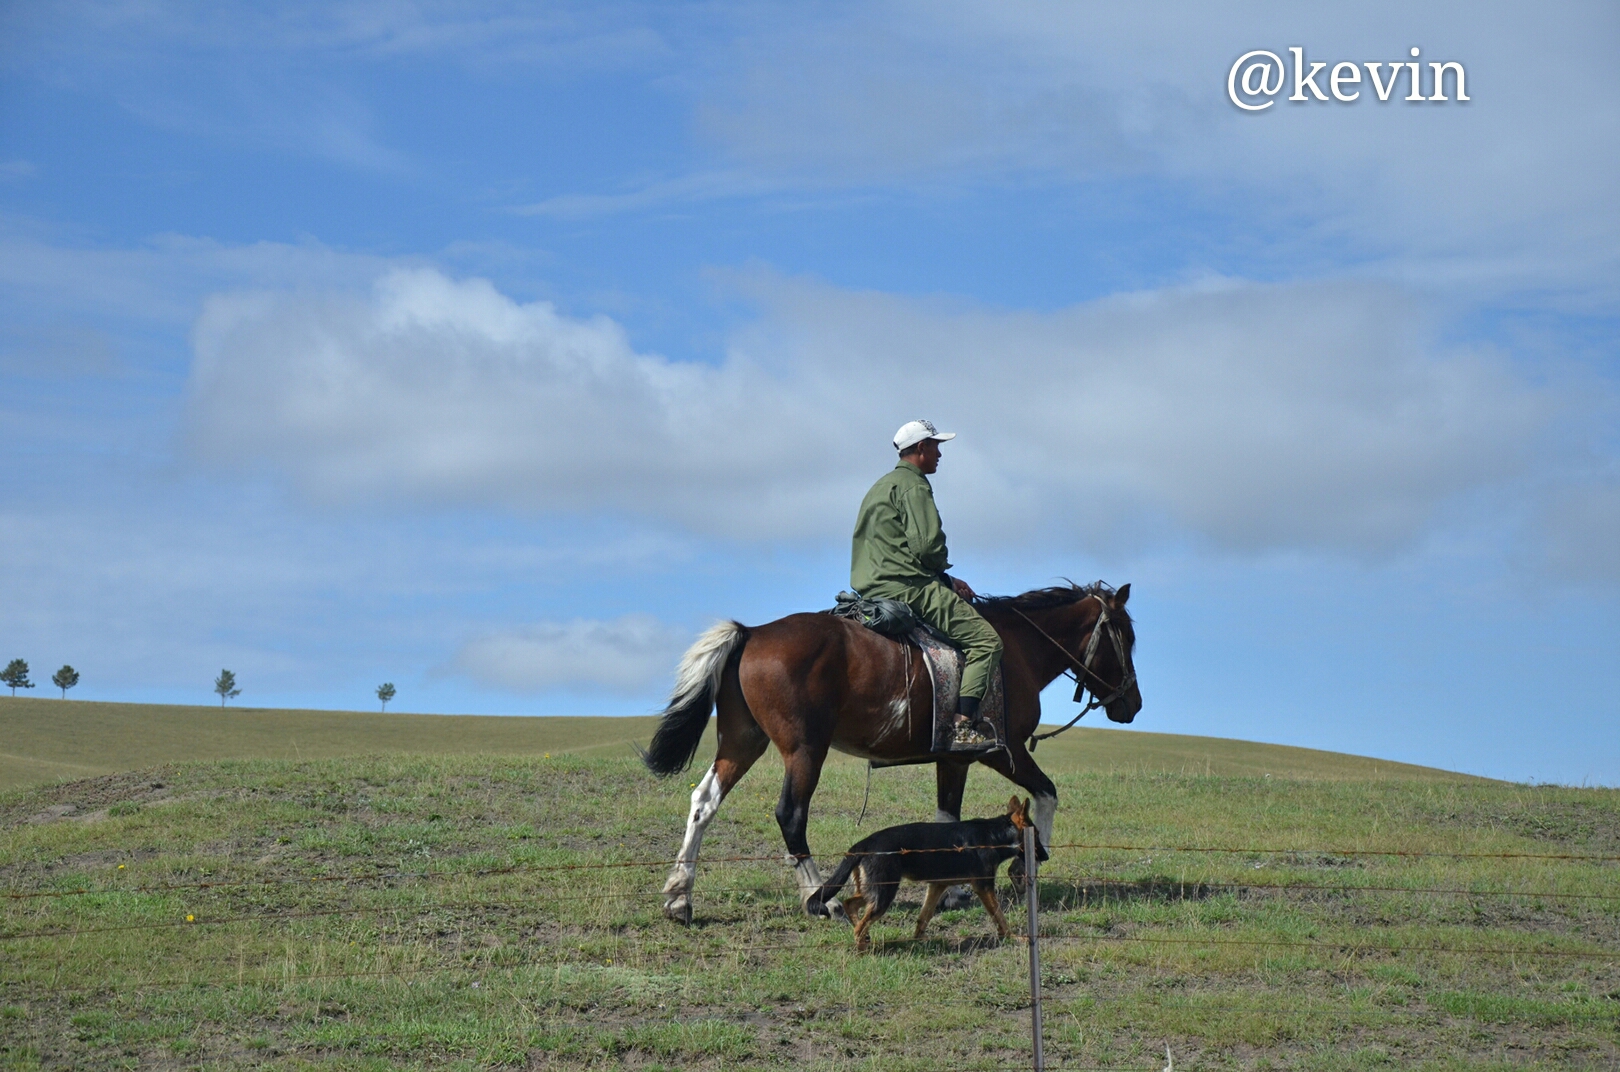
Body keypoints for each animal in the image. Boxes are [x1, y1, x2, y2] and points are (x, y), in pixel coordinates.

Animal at [638, 582, 1146, 926]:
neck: (1016, 649)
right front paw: (1026, 866)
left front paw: (953, 891)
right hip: (805, 750)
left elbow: (948, 819)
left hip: (743, 741)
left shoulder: (953, 759)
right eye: (1125, 638)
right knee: (791, 814)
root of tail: (753, 633)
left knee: (704, 802)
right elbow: (1046, 792)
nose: (1133, 704)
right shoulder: (1002, 749)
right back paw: (821, 898)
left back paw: (680, 896)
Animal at [803, 796, 1043, 958]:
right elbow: (999, 916)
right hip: (885, 893)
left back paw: (864, 940)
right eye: (1037, 835)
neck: (996, 835)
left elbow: (924, 916)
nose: (1046, 855)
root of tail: (864, 843)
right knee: (860, 925)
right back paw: (862, 950)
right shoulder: (983, 887)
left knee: (850, 904)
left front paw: (920, 938)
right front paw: (1012, 937)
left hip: (875, 890)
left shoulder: (937, 886)